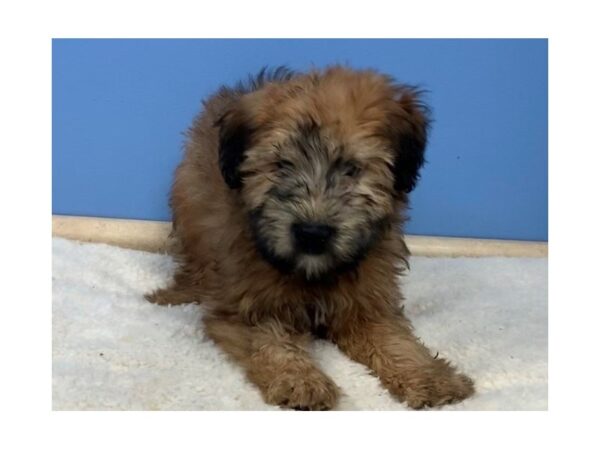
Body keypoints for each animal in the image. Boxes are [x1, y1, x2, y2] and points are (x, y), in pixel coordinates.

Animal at [146, 66, 474, 408]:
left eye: (351, 169)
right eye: (281, 165)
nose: (312, 234)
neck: (314, 274)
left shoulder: (369, 304)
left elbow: (396, 341)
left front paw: (429, 378)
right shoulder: (248, 308)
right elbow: (272, 344)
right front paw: (299, 381)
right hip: (191, 205)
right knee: (195, 262)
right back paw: (174, 293)